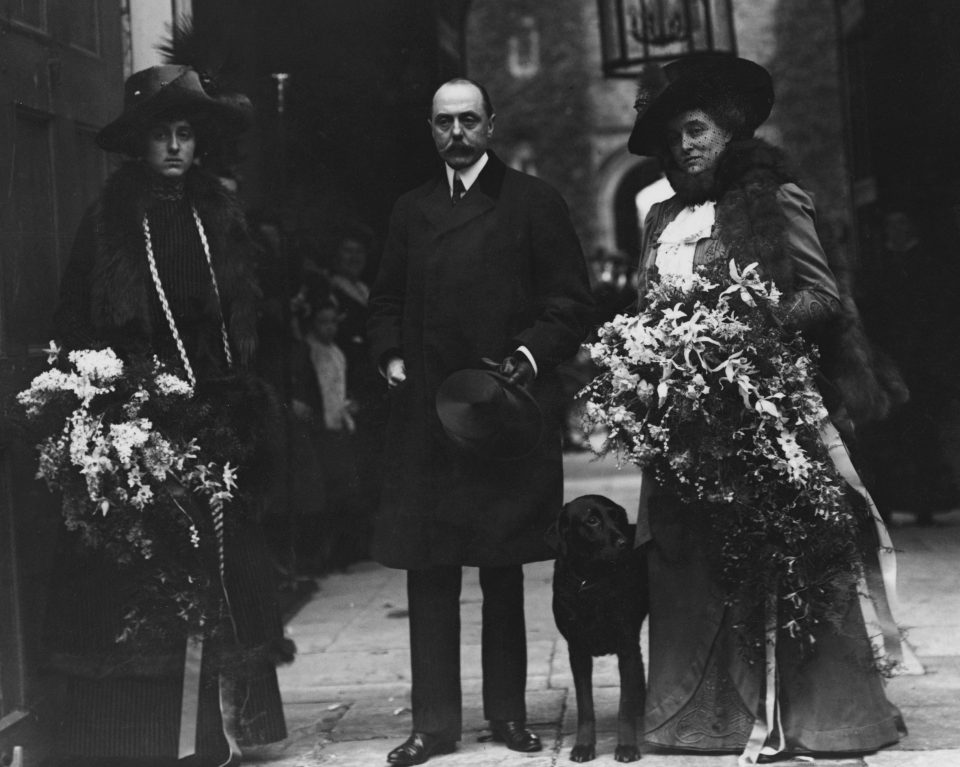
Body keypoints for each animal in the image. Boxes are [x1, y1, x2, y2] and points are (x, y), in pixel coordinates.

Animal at [544, 496, 648, 764]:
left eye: (617, 516)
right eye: (592, 520)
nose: (624, 543)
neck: (592, 580)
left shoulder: (626, 645)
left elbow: (624, 706)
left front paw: (627, 746)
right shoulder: (577, 651)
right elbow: (585, 706)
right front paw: (583, 746)